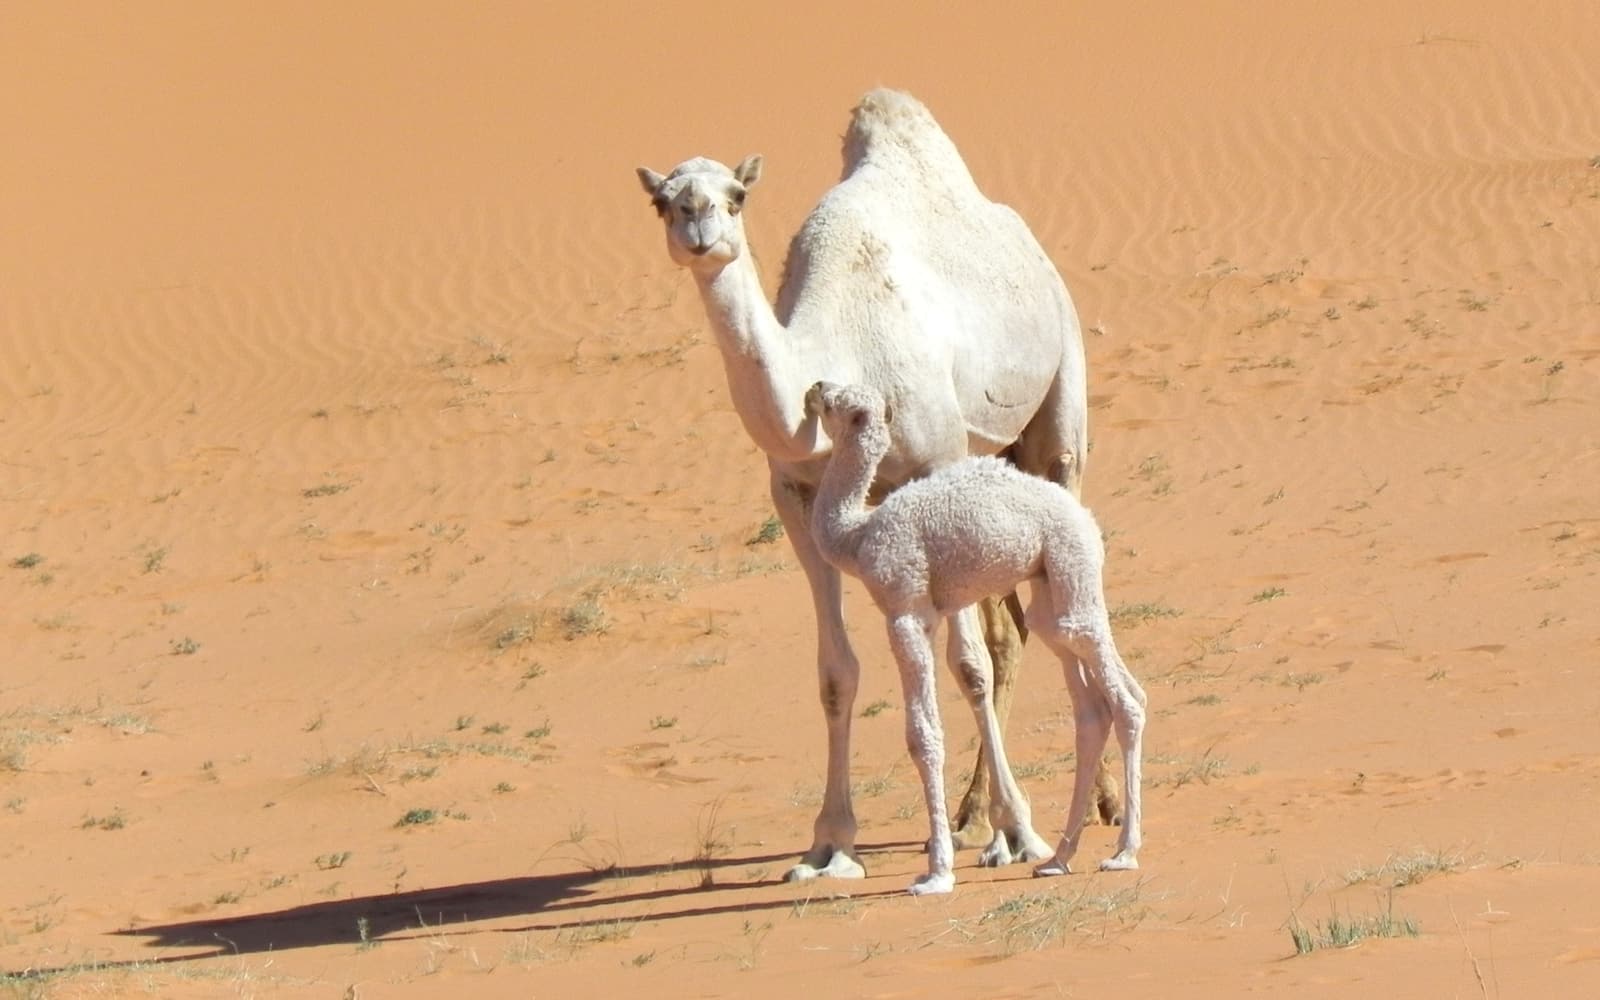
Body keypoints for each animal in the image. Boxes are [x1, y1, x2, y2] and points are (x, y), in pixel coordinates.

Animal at [637, 88, 1108, 882]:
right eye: (662, 200)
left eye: (736, 196)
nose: (699, 223)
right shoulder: (794, 499)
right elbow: (836, 672)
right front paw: (829, 843)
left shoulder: (939, 460)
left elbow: (967, 666)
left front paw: (1019, 831)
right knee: (1013, 630)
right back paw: (974, 813)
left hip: (1059, 402)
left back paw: (1077, 808)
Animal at [806, 381, 1146, 893]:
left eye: (836, 403)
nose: (815, 389)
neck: (858, 536)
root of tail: (1087, 521)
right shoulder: (929, 614)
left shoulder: (904, 611)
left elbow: (922, 735)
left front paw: (936, 872)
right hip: (1051, 588)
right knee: (1091, 703)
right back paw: (1058, 857)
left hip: (1071, 567)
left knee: (1124, 698)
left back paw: (1123, 852)